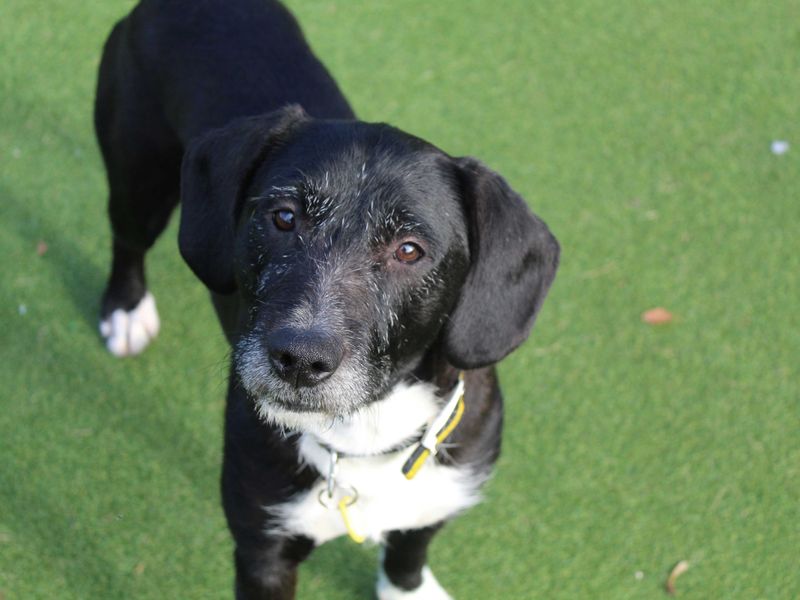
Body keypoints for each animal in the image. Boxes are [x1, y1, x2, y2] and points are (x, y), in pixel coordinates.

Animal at [94, 2, 560, 596]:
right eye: (283, 217)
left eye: (409, 249)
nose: (299, 359)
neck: (365, 436)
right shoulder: (263, 547)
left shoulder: (438, 496)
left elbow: (410, 545)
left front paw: (408, 587)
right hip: (138, 172)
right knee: (127, 238)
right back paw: (126, 311)